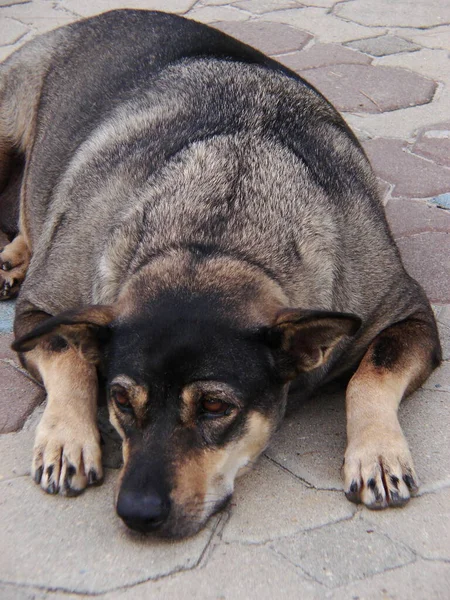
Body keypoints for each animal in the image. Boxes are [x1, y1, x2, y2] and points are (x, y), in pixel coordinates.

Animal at [0, 9, 442, 540]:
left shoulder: (408, 314)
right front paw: (67, 437)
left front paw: (376, 452)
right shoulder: (42, 308)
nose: (137, 513)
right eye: (121, 400)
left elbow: (372, 374)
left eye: (214, 408)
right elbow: (70, 354)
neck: (215, 238)